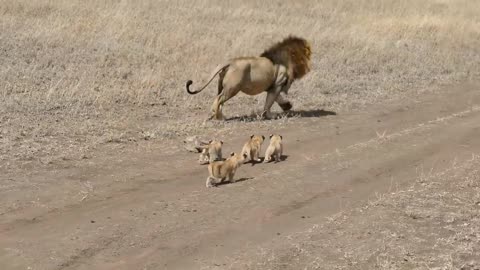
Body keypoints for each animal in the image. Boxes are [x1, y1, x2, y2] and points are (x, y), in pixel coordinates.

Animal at [184, 35, 312, 120]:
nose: (309, 67)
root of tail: (230, 62)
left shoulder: (272, 86)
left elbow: (276, 98)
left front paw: (287, 105)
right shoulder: (278, 84)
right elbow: (269, 102)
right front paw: (269, 115)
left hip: (222, 86)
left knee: (219, 99)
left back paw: (218, 115)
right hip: (233, 88)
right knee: (219, 99)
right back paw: (218, 117)